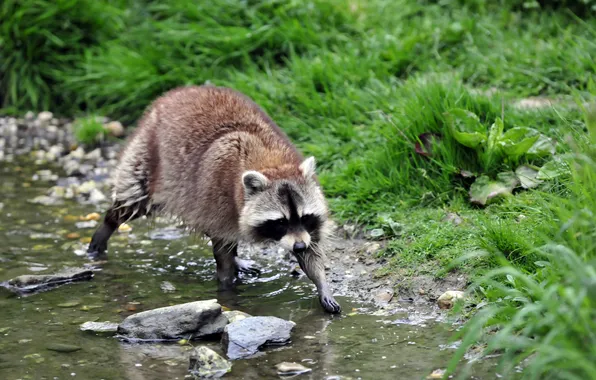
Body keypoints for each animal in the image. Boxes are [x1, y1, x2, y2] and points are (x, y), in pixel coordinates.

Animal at [86, 84, 342, 314]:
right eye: (280, 222)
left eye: (305, 217)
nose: (298, 246)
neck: (271, 164)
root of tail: (178, 91)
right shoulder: (218, 193)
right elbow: (222, 253)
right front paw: (227, 291)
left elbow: (312, 249)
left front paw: (321, 282)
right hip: (148, 154)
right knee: (133, 196)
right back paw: (108, 223)